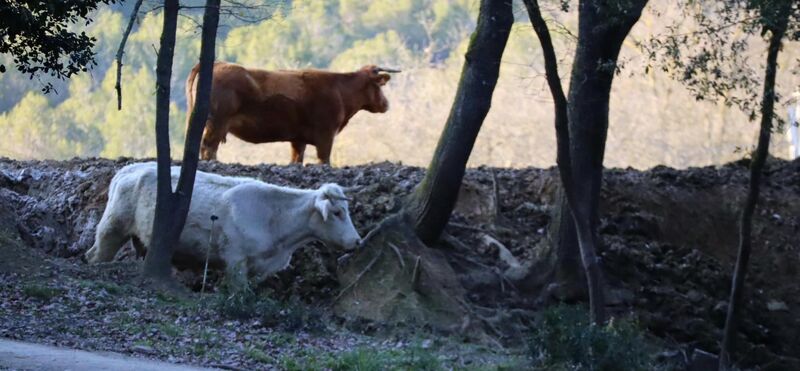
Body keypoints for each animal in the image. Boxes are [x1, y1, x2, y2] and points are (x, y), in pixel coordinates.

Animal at [83, 163, 360, 282]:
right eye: (337, 212)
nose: (357, 241)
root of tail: (127, 169)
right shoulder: (235, 259)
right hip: (112, 229)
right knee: (96, 255)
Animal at [184, 61, 396, 163]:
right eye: (380, 86)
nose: (387, 104)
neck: (339, 89)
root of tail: (219, 63)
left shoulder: (298, 139)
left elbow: (296, 159)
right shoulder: (325, 135)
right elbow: (324, 160)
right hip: (217, 122)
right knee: (208, 148)